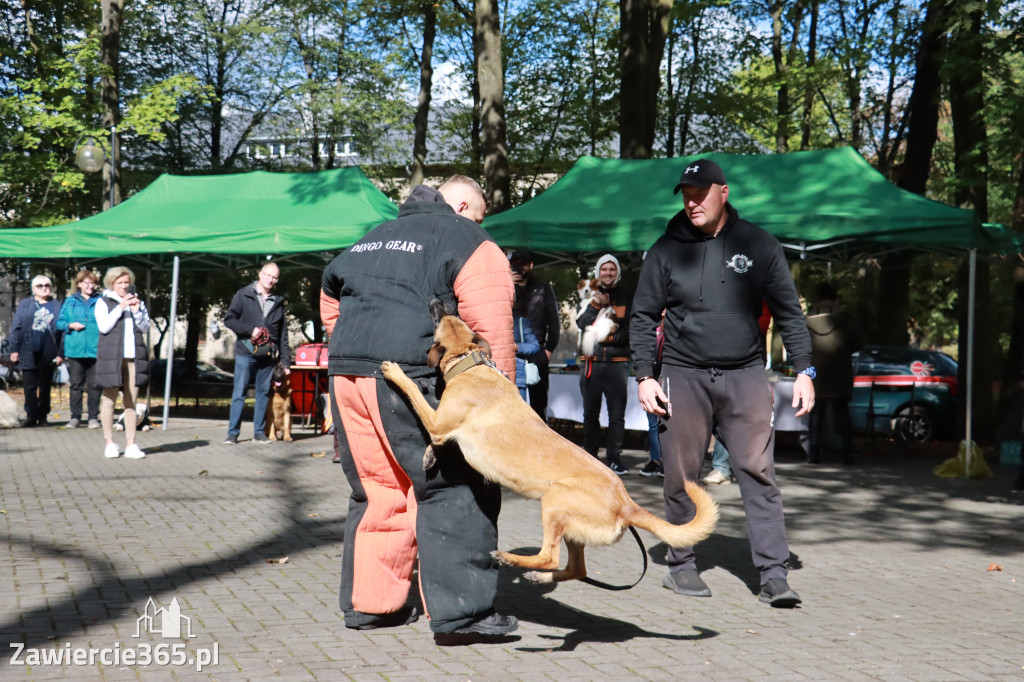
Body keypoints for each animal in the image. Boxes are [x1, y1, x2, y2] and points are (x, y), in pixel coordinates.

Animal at [382, 301, 720, 581]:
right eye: (451, 315)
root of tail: (627, 504)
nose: (436, 301)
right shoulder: (442, 426)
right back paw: (538, 577)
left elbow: (413, 391)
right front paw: (430, 455)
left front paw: (395, 372)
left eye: (441, 317)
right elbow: (436, 440)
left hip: (554, 502)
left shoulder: (438, 421)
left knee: (550, 557)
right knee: (575, 569)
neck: (471, 363)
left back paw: (509, 558)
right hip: (571, 527)